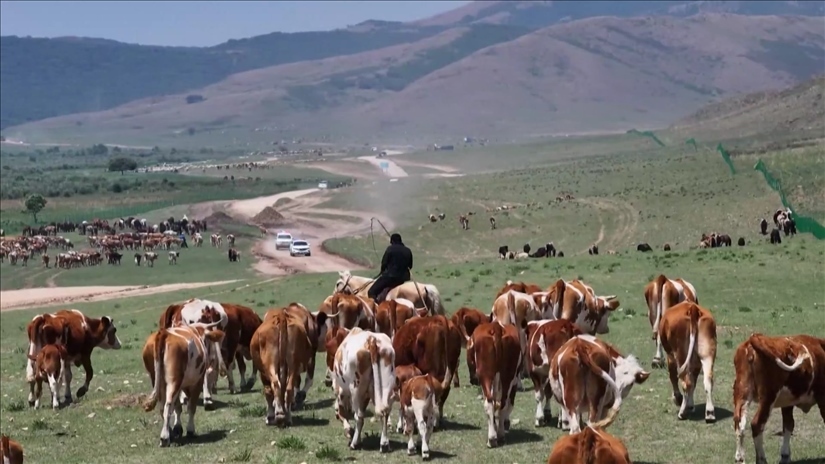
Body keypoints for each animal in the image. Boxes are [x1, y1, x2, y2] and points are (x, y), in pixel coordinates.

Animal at [732, 333, 825, 464]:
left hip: (742, 392)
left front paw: (785, 456)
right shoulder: (823, 398)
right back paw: (761, 459)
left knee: (739, 423)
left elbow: (788, 425)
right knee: (757, 424)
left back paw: (740, 458)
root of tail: (755, 338)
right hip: (768, 396)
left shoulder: (787, 403)